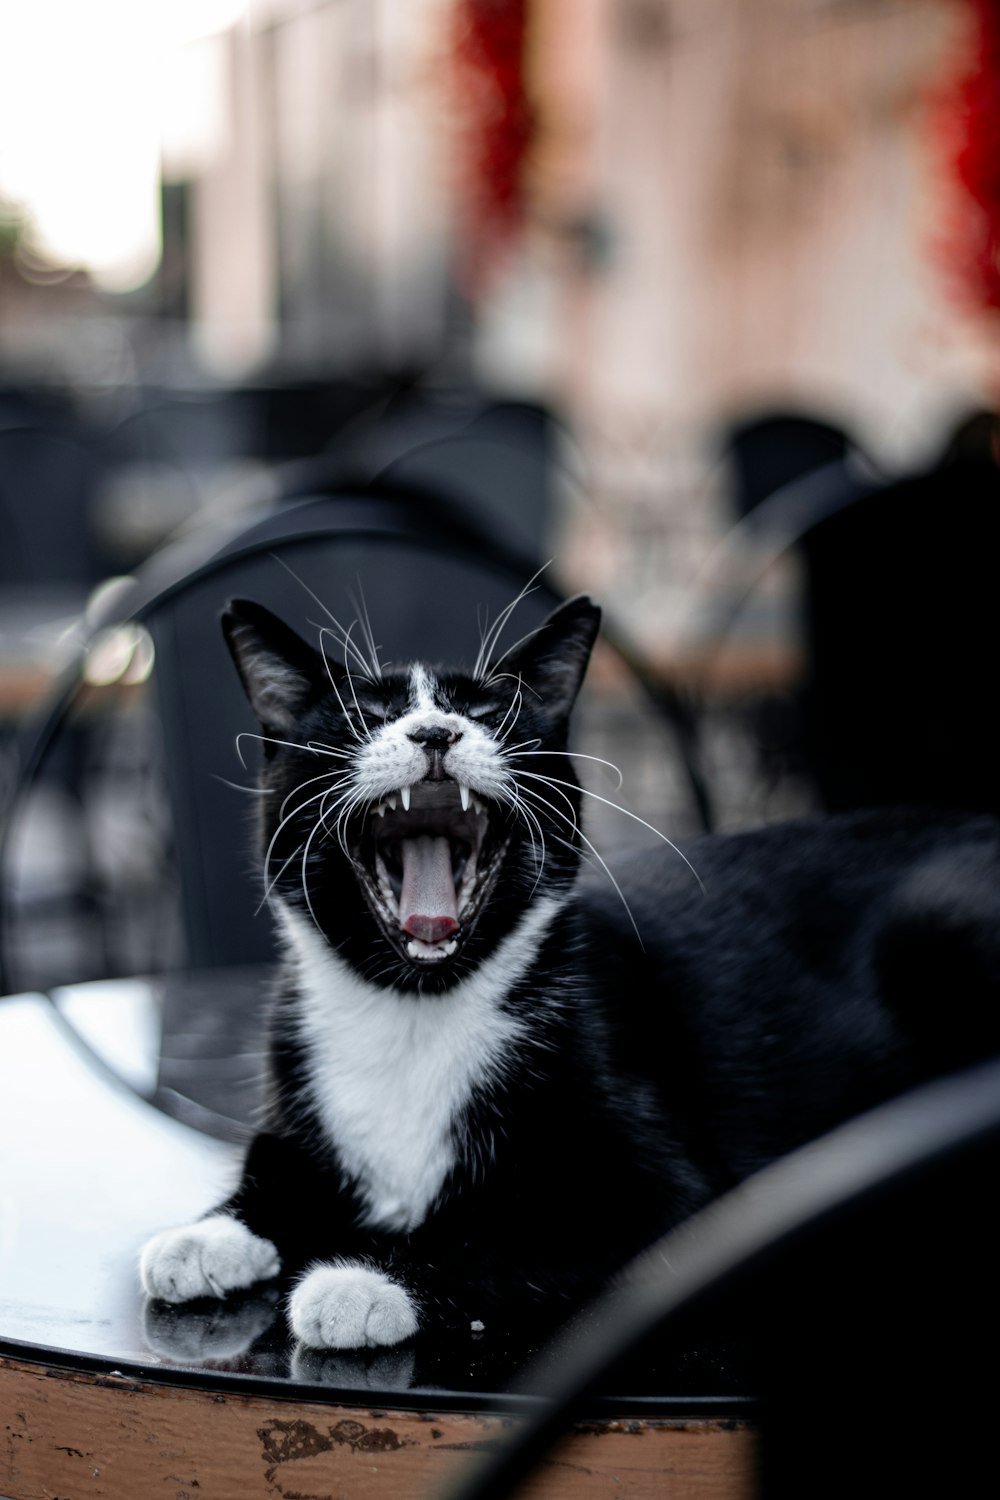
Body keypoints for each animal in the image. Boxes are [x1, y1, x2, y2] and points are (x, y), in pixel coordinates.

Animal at [138, 591, 1000, 1356]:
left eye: (490, 714)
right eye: (367, 716)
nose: (436, 730)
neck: (416, 1011)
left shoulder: (670, 1191)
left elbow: (507, 1232)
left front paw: (363, 1283)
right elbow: (274, 1162)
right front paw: (206, 1237)